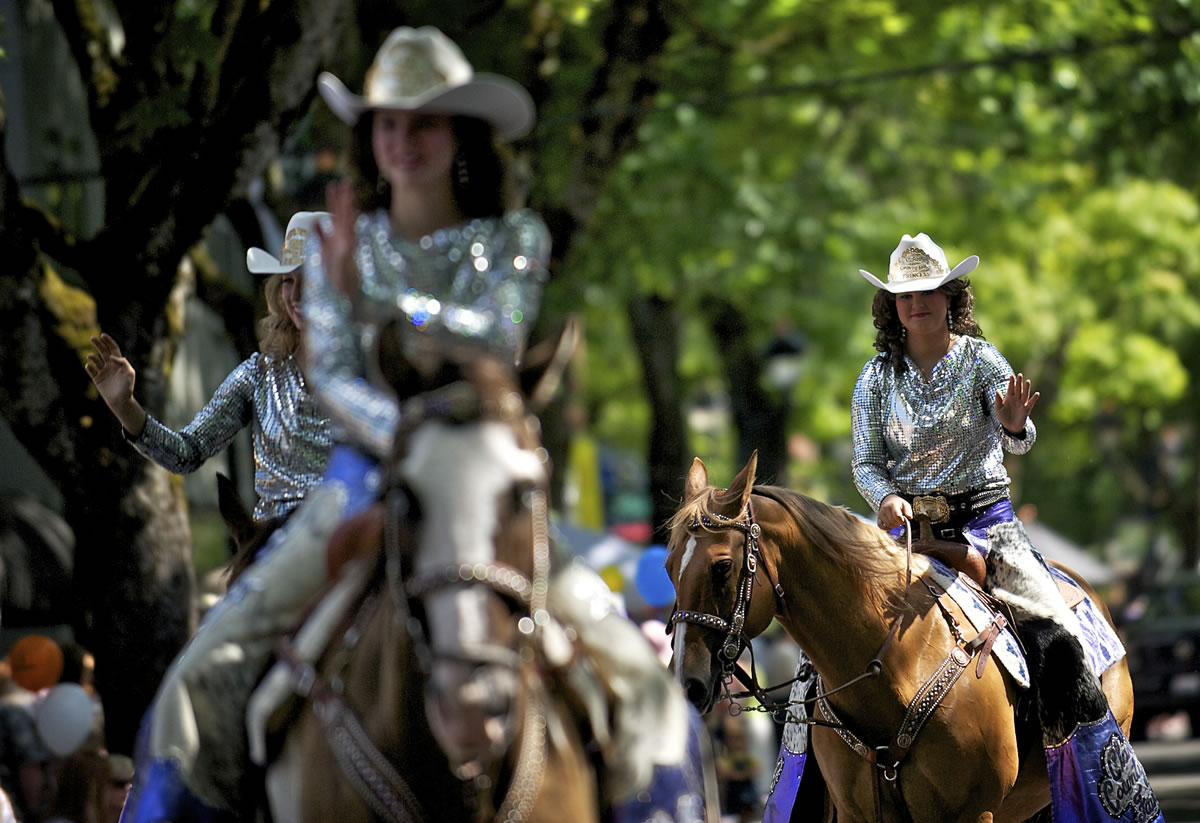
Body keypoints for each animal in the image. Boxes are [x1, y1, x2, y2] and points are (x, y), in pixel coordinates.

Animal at [667, 453, 1132, 820]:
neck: (897, 667)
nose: (687, 682)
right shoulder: (858, 813)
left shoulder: (973, 813)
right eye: (670, 566)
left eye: (722, 566)